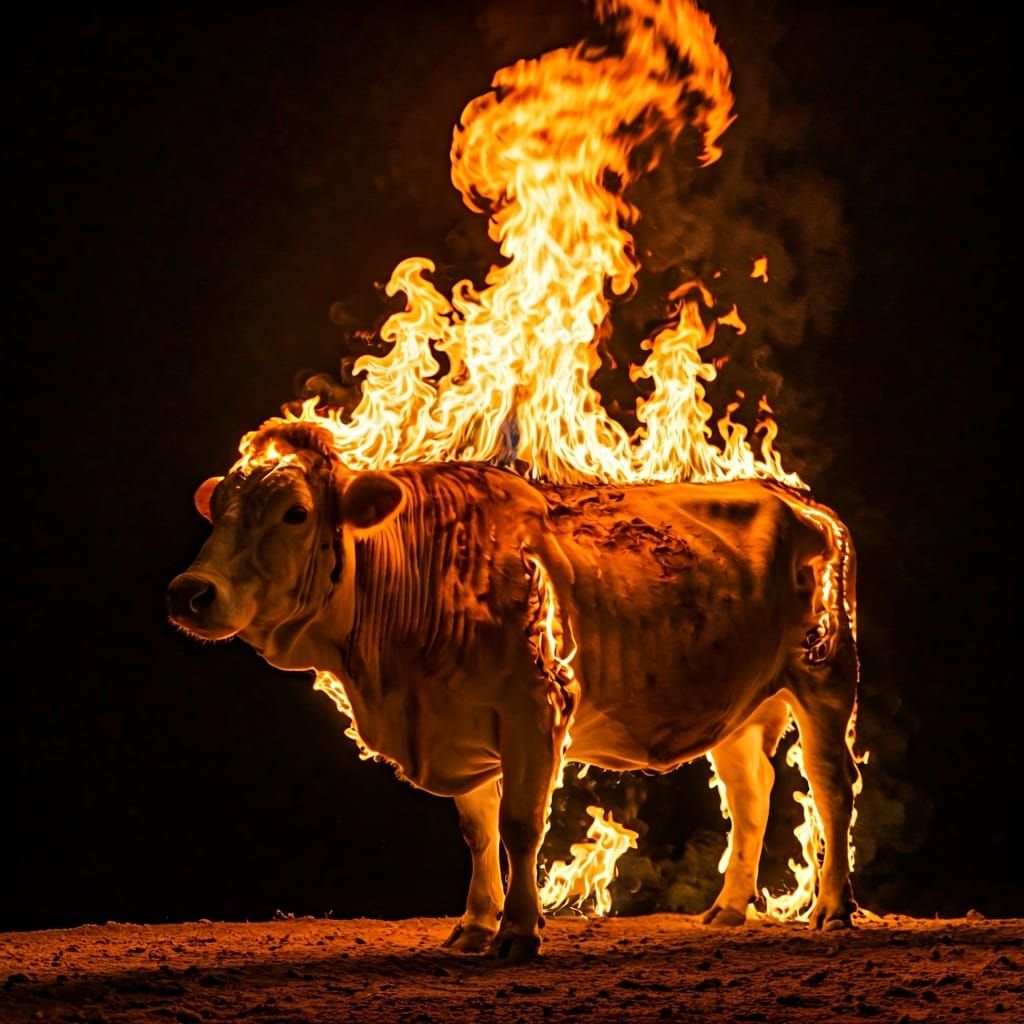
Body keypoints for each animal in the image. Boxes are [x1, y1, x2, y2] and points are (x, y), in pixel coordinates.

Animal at [167, 419, 860, 960]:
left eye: (296, 513)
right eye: (219, 509)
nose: (189, 592)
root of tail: (802, 501)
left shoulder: (536, 709)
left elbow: (521, 825)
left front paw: (519, 932)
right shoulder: (457, 725)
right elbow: (479, 832)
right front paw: (475, 925)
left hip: (824, 678)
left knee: (830, 786)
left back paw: (832, 909)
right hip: (742, 706)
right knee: (751, 794)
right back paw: (729, 907)